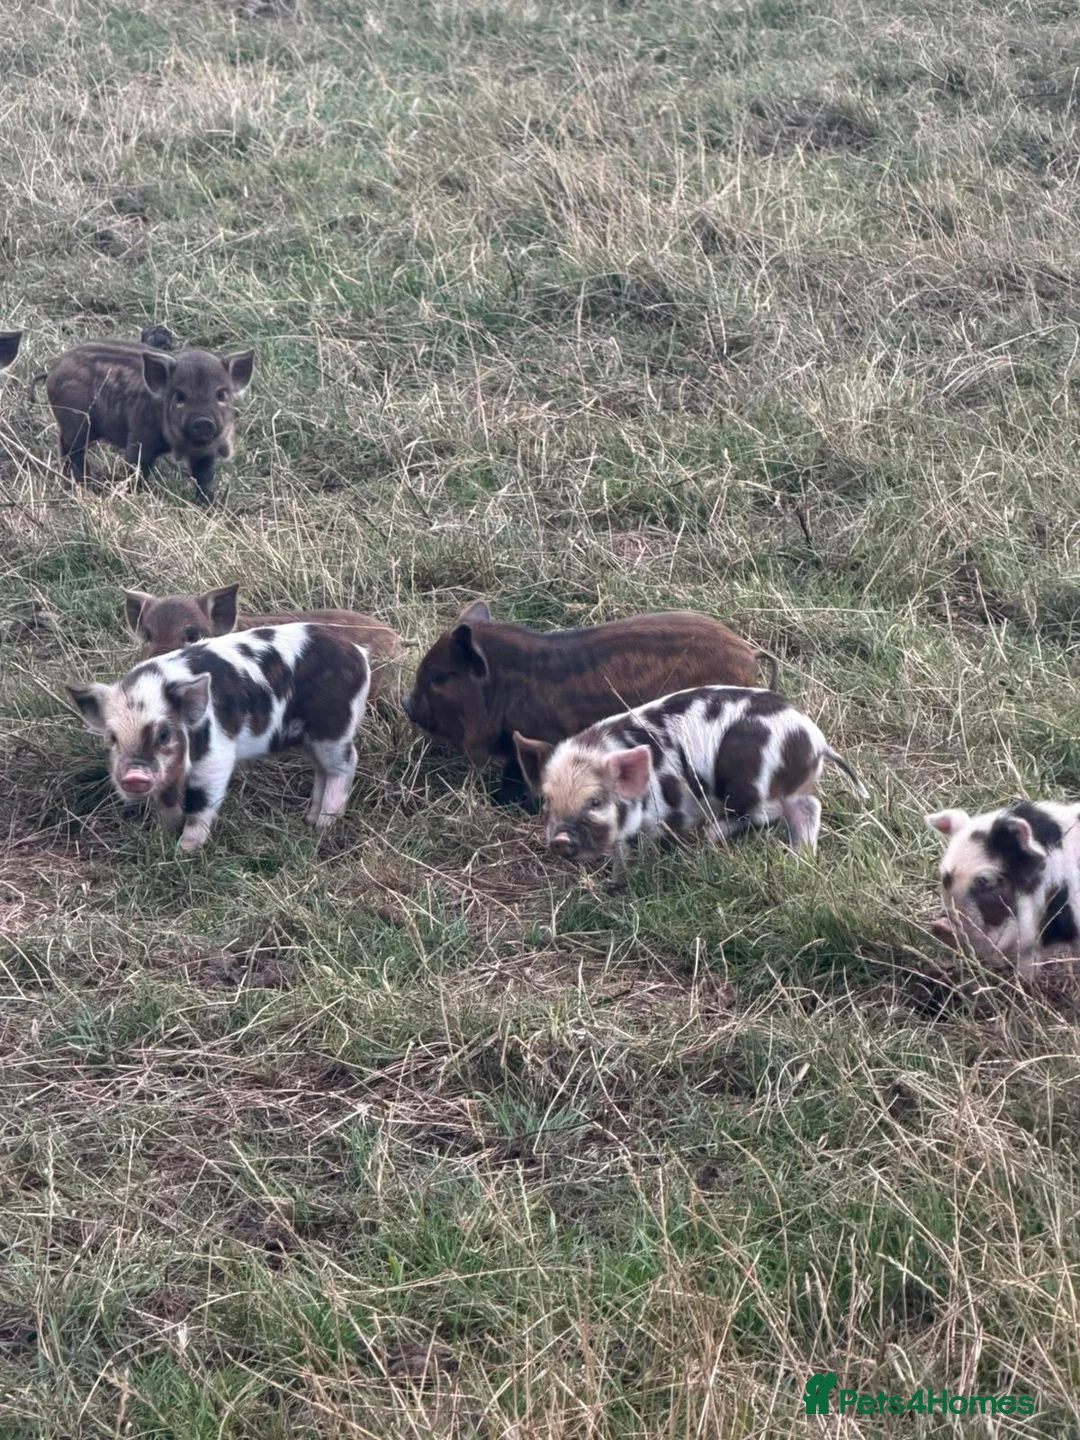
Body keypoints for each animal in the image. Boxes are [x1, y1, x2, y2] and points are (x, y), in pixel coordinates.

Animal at [44, 340, 254, 502]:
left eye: (221, 394)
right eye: (179, 395)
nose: (203, 421)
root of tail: (52, 371)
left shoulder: (206, 453)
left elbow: (204, 477)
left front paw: (207, 504)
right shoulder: (139, 436)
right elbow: (136, 468)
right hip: (76, 422)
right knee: (73, 452)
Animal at [67, 623, 369, 851]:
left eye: (164, 733)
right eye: (112, 737)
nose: (133, 776)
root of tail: (358, 654)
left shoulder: (215, 758)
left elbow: (201, 803)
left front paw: (184, 850)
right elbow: (167, 805)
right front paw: (162, 839)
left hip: (332, 727)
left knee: (345, 764)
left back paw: (324, 825)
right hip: (309, 738)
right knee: (321, 770)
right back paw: (309, 820)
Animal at [513, 685, 867, 870]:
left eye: (596, 801)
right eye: (548, 800)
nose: (559, 839)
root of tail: (815, 740)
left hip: (750, 783)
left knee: (766, 813)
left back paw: (713, 834)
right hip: (791, 787)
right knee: (809, 808)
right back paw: (797, 858)